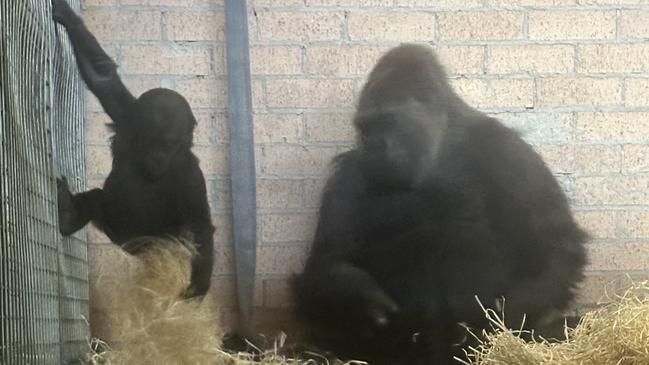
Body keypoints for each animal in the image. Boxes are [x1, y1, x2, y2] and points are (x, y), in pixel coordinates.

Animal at [52, 0, 215, 296]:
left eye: (168, 144)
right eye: (150, 140)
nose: (157, 156)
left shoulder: (190, 174)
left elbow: (200, 223)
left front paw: (198, 285)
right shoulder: (126, 118)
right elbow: (103, 77)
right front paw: (69, 17)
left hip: (152, 245)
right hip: (114, 227)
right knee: (96, 198)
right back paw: (70, 213)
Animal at [294, 44, 588, 362]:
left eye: (387, 123)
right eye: (365, 129)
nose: (372, 147)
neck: (443, 143)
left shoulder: (508, 152)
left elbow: (555, 246)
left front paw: (504, 318)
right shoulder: (348, 173)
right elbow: (326, 261)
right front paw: (363, 300)